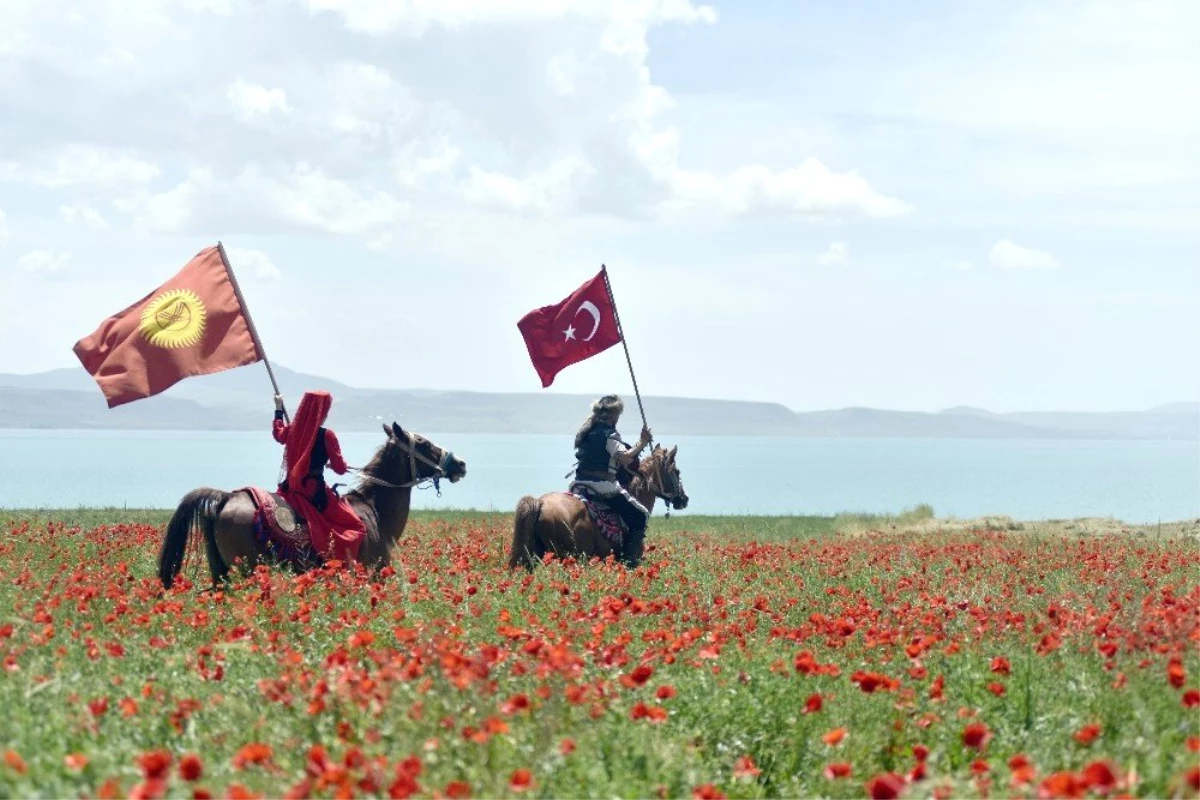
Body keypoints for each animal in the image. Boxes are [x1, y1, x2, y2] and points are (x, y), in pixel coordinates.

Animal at [156, 419, 463, 587]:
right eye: (423, 444)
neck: (374, 512)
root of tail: (226, 497)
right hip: (249, 571)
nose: (460, 464)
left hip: (222, 574)